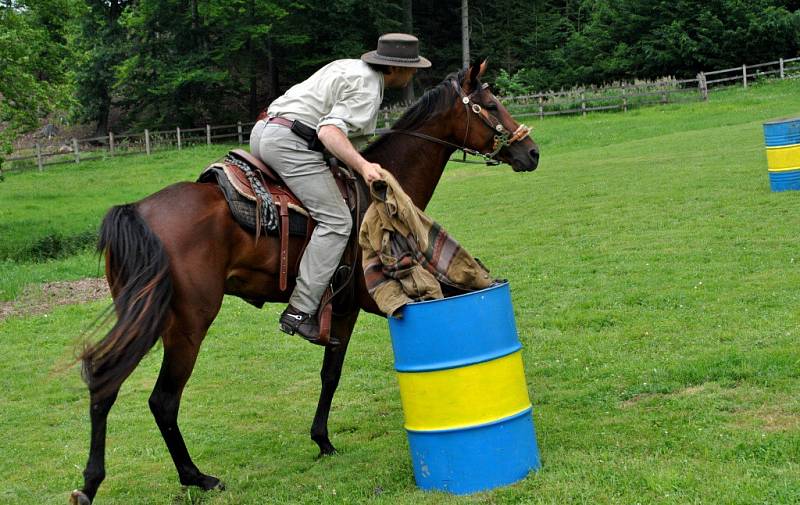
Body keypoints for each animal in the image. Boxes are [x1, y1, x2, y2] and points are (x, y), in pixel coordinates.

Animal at [72, 61, 540, 502]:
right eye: (491, 105)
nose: (532, 152)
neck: (376, 189)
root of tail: (137, 211)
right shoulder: (366, 302)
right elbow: (332, 371)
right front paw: (323, 440)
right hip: (186, 324)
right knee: (162, 399)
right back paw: (196, 477)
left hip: (143, 315)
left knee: (104, 377)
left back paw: (90, 483)